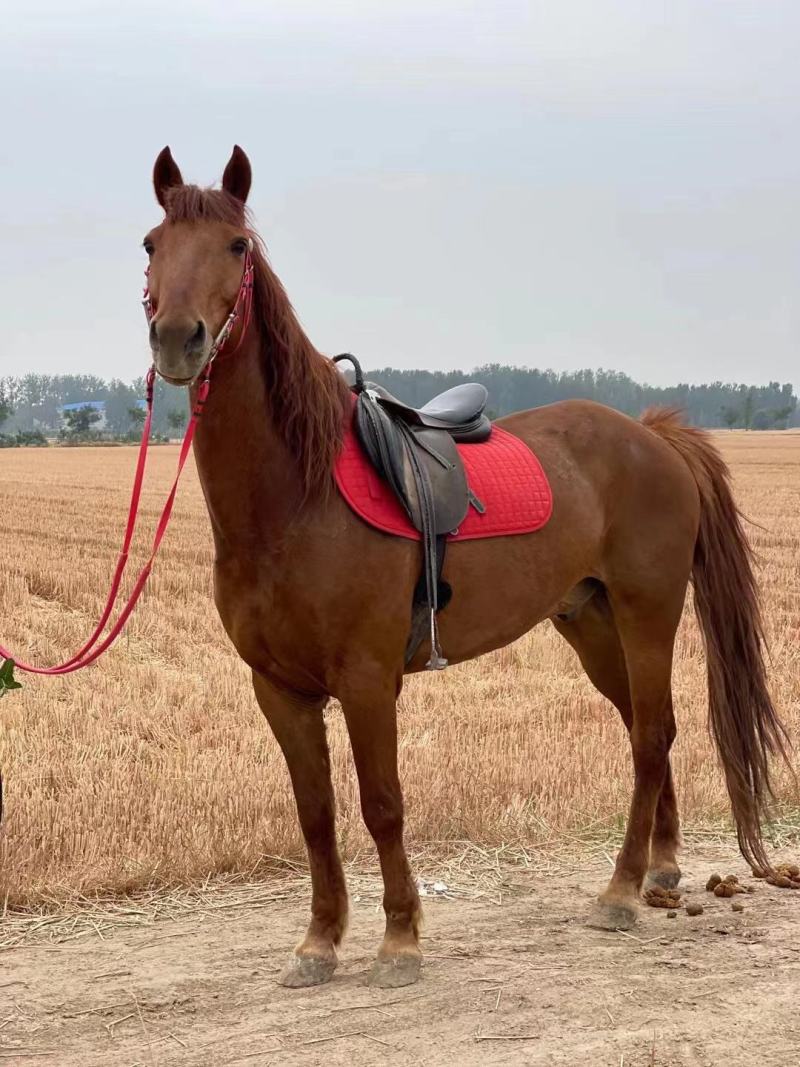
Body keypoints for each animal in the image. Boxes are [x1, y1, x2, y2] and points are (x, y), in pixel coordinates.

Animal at [143, 144, 787, 989]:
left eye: (236, 246)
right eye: (151, 244)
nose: (176, 339)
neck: (297, 498)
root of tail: (651, 435)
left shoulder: (366, 679)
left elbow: (382, 803)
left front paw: (399, 940)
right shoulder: (278, 688)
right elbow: (315, 812)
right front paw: (318, 942)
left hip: (649, 613)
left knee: (651, 734)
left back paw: (618, 892)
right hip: (591, 622)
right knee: (648, 730)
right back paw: (660, 867)